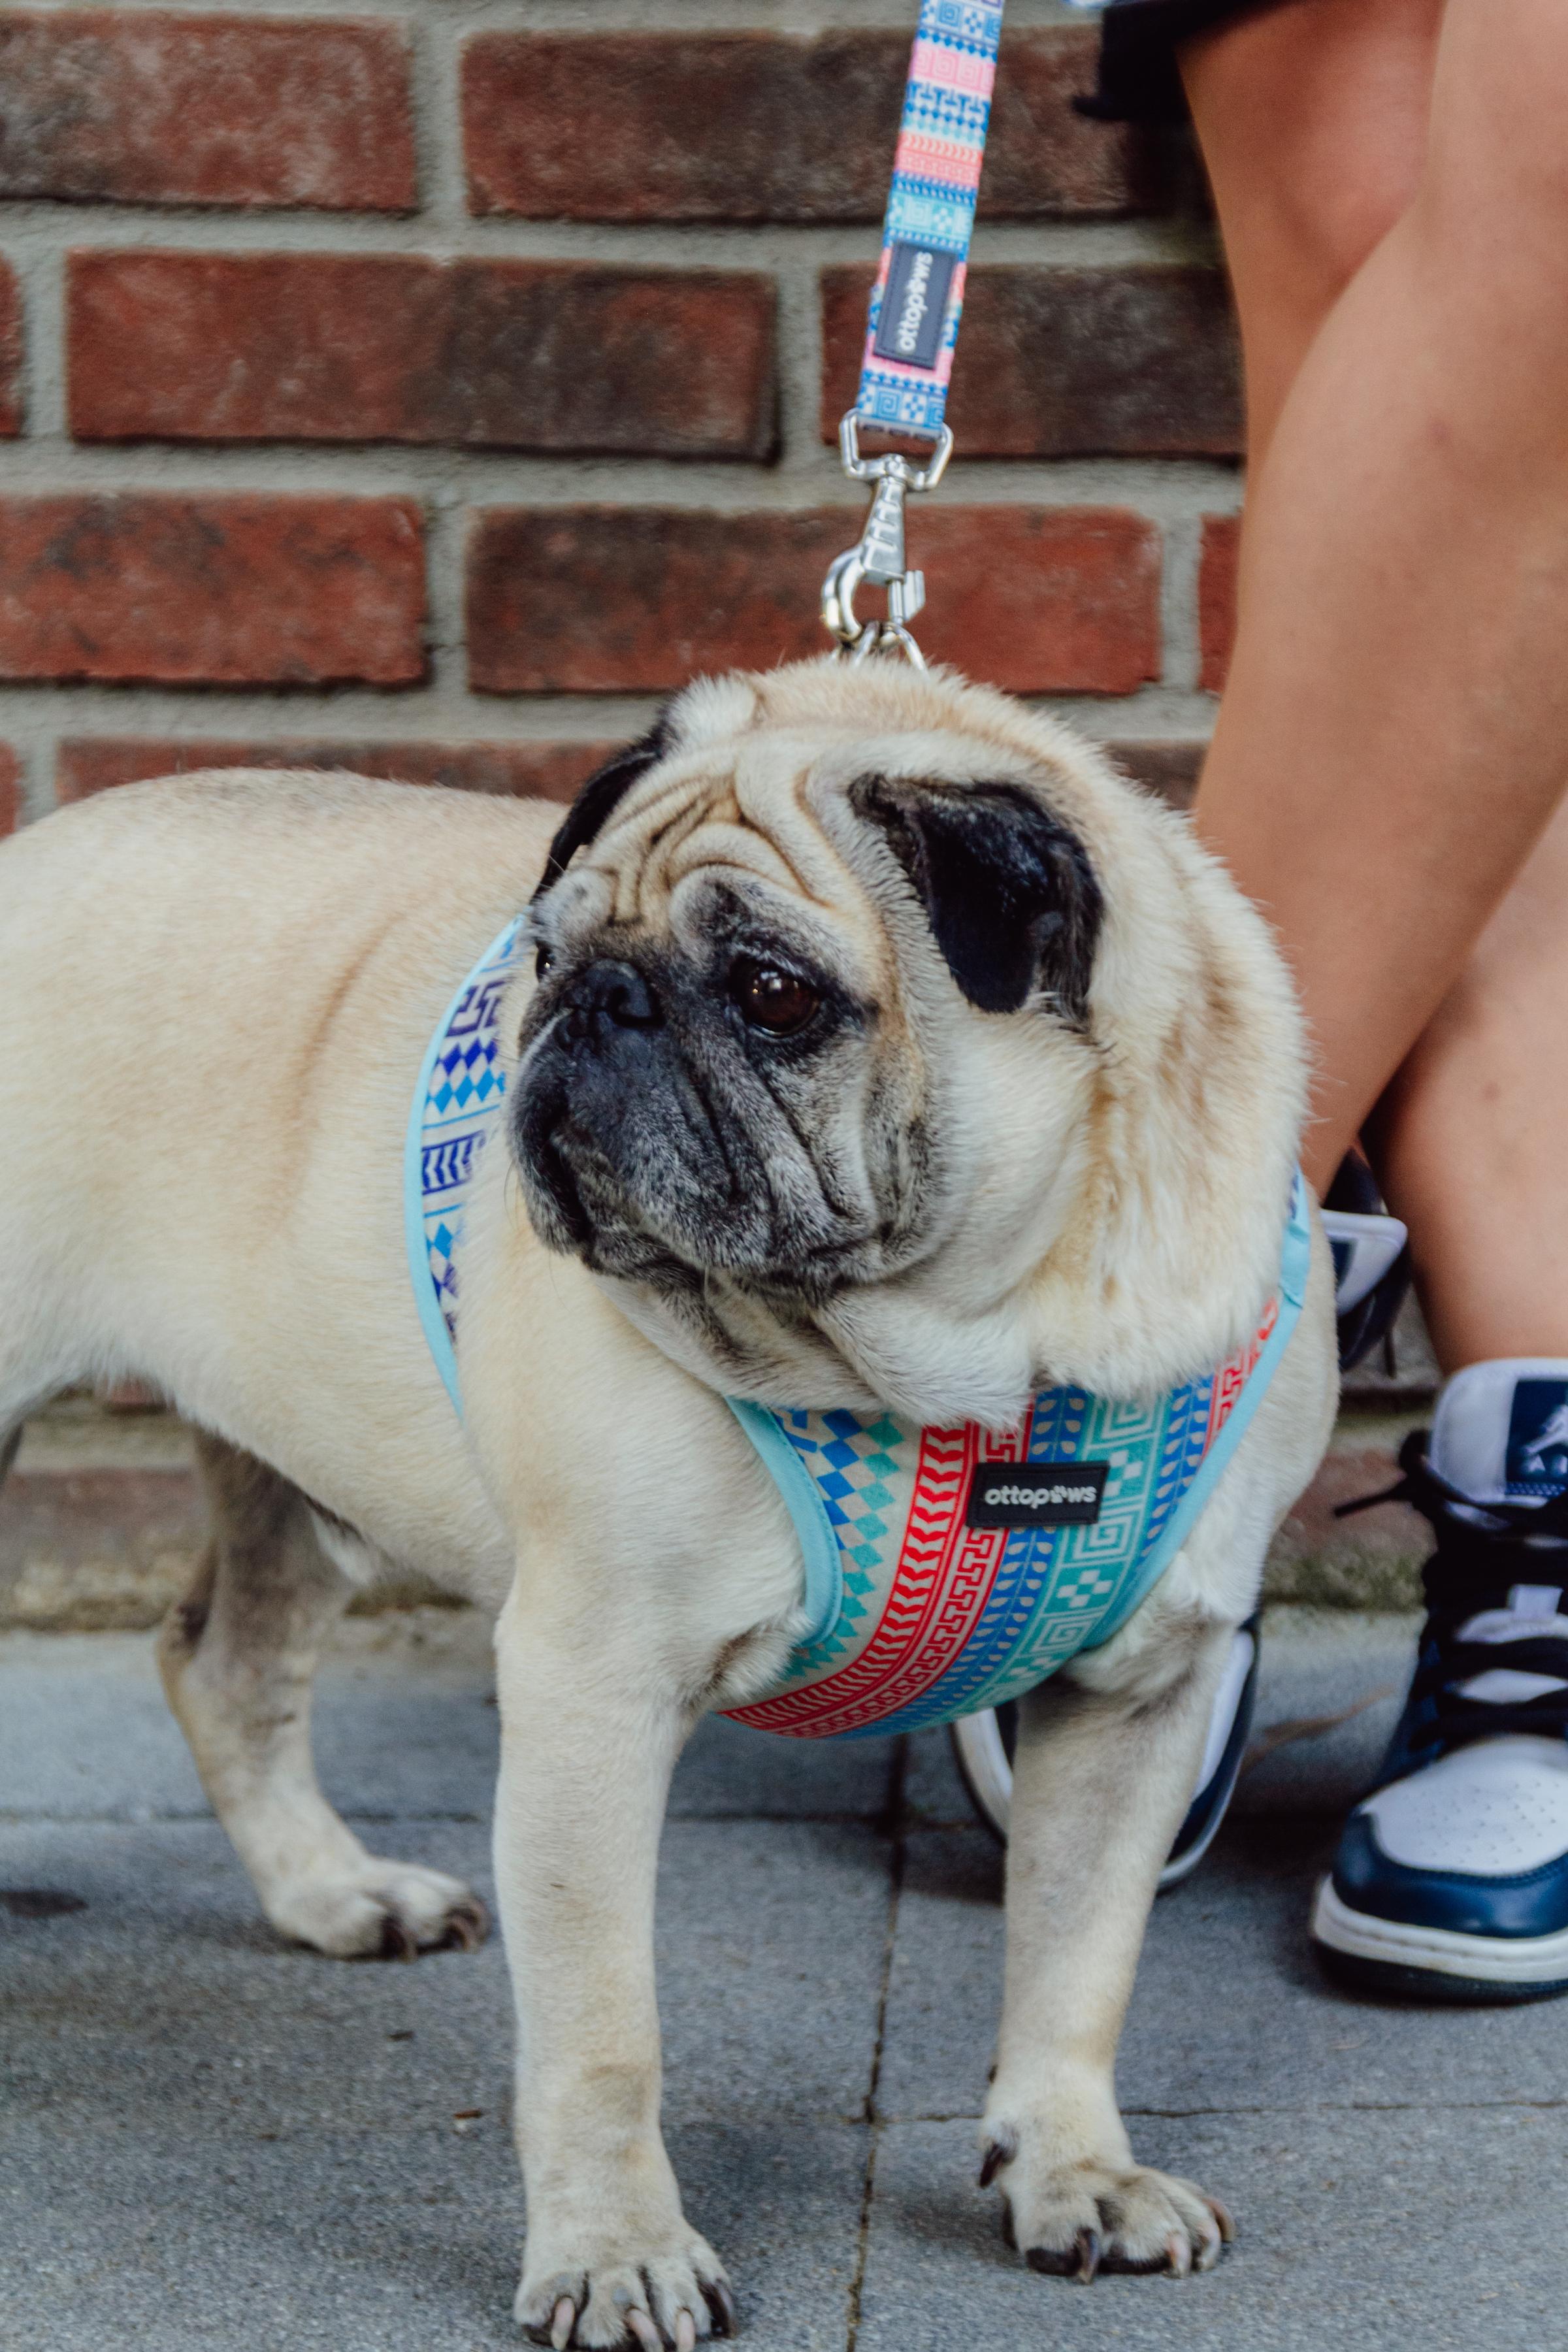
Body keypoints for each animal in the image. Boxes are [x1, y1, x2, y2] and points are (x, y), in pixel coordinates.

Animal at [0, 659, 1335, 2333]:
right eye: (546, 958)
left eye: (772, 994)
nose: (591, 1007)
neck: (969, 1366)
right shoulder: (593, 1683)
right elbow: (601, 2032)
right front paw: (613, 2255)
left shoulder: (1141, 1691)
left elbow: (1080, 1954)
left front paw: (1071, 2169)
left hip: (297, 1468)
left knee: (226, 1664)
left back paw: (330, 1892)